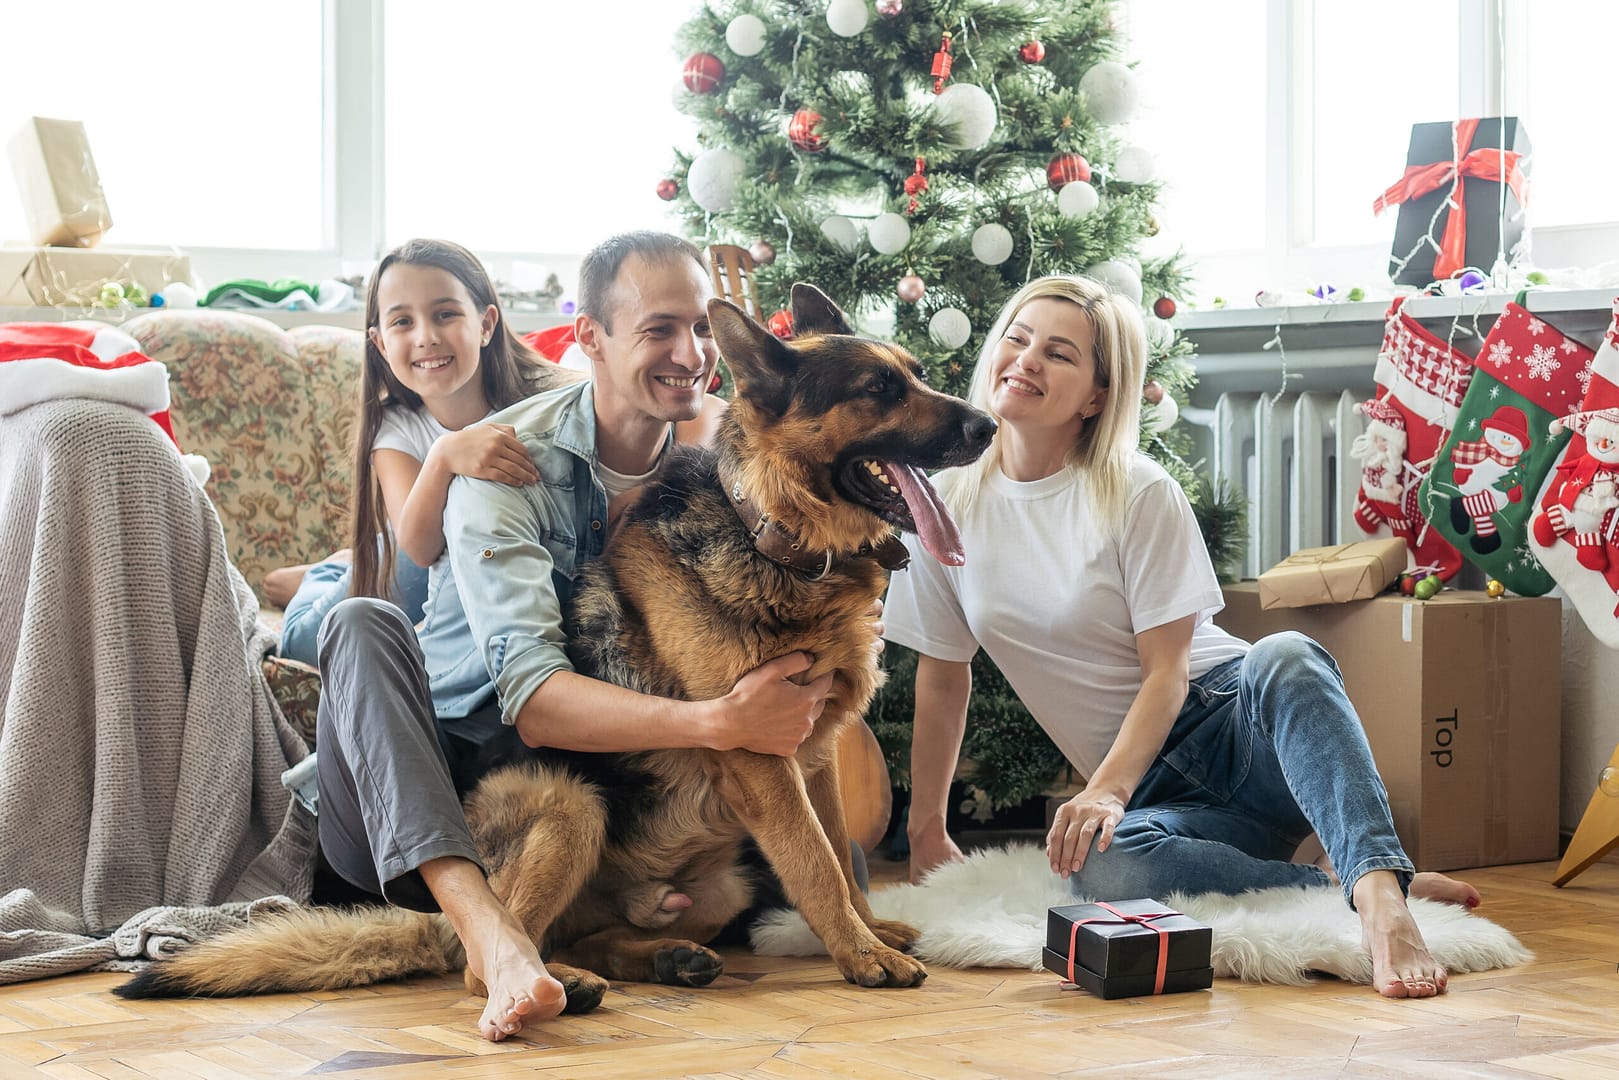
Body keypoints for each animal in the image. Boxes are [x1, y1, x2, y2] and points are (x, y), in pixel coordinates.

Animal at [114, 283, 990, 1016]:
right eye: (877, 391)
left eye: (915, 374)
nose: (987, 425)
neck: (770, 535)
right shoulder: (759, 754)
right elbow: (813, 860)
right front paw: (861, 955)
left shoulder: (815, 754)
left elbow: (840, 853)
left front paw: (871, 929)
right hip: (572, 803)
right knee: (482, 958)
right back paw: (548, 982)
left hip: (720, 881)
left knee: (583, 933)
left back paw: (659, 958)